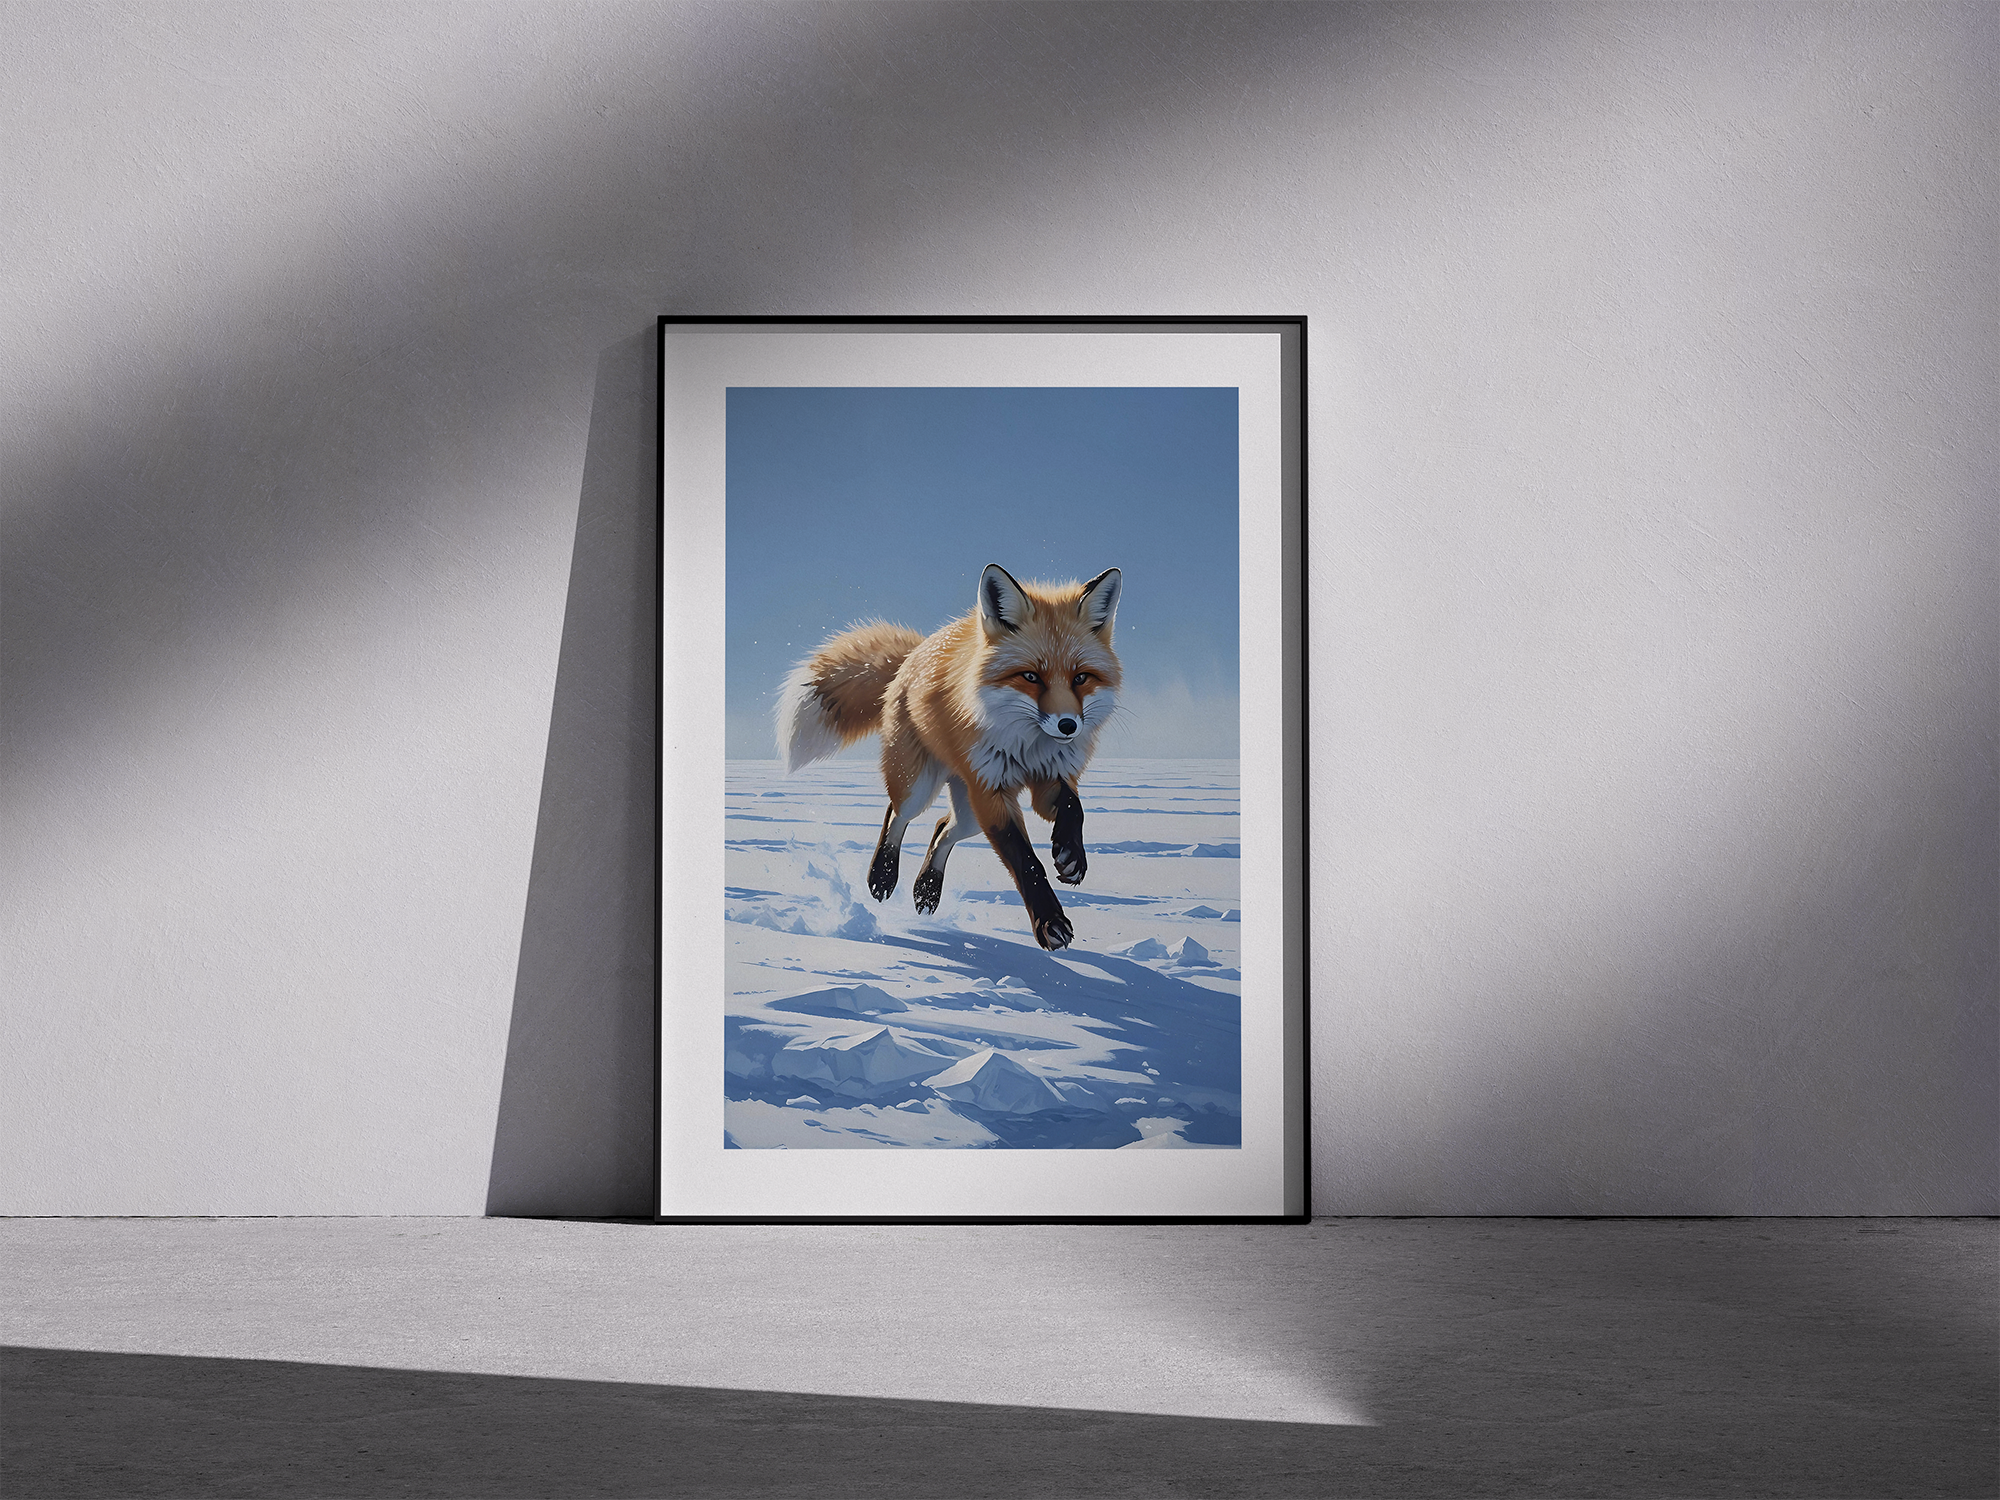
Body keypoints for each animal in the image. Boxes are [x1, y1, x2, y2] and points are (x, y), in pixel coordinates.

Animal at [775, 563, 1122, 951]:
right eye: (1031, 676)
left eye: (1081, 678)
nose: (1067, 726)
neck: (1027, 747)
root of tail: (916, 651)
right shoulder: (990, 790)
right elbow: (1025, 860)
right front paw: (1050, 922)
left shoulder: (1049, 778)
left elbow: (1073, 807)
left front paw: (1071, 854)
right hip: (924, 788)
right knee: (897, 813)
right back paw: (883, 875)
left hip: (969, 811)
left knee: (943, 827)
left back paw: (927, 889)